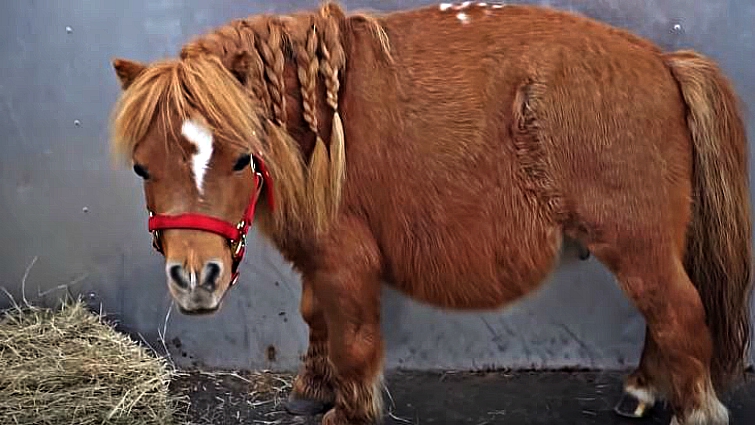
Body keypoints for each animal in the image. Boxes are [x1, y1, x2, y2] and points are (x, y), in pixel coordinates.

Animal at [107, 2, 752, 424]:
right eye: (142, 168)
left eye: (242, 157)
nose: (195, 279)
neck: (320, 124)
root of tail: (664, 62)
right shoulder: (318, 255)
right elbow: (316, 315)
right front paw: (313, 387)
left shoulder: (345, 259)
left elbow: (354, 338)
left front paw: (349, 411)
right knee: (663, 320)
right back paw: (642, 388)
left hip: (637, 245)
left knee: (679, 316)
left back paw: (690, 410)